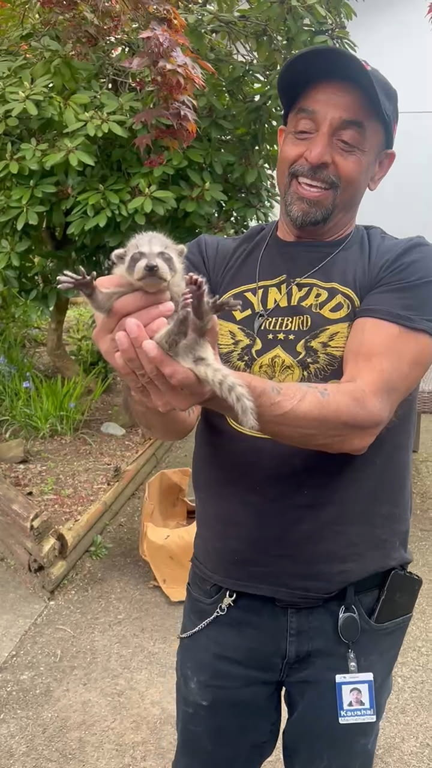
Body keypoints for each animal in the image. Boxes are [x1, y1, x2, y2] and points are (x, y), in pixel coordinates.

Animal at [57, 230, 259, 431]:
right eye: (138, 256)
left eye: (164, 255)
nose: (151, 266)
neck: (152, 287)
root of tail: (192, 352)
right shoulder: (124, 290)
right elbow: (103, 304)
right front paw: (89, 288)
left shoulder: (178, 289)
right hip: (162, 345)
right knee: (163, 342)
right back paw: (179, 326)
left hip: (198, 335)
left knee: (200, 325)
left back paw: (200, 308)